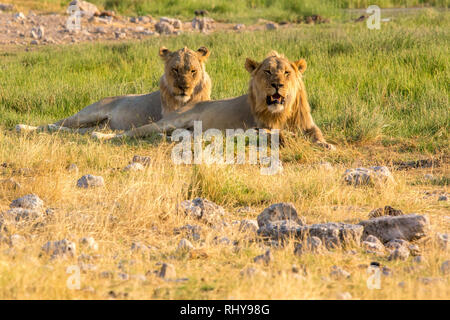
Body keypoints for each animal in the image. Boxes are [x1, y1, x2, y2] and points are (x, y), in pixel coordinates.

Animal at [16, 45, 213, 133]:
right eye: (175, 69)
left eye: (193, 71)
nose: (183, 87)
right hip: (87, 114)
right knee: (57, 123)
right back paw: (23, 127)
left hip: (97, 124)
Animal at [93, 50, 336, 150]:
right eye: (267, 72)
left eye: (287, 73)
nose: (277, 84)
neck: (282, 113)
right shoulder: (255, 127)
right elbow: (274, 132)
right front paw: (289, 137)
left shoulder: (308, 124)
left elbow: (317, 134)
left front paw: (326, 145)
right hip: (168, 122)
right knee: (132, 132)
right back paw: (100, 136)